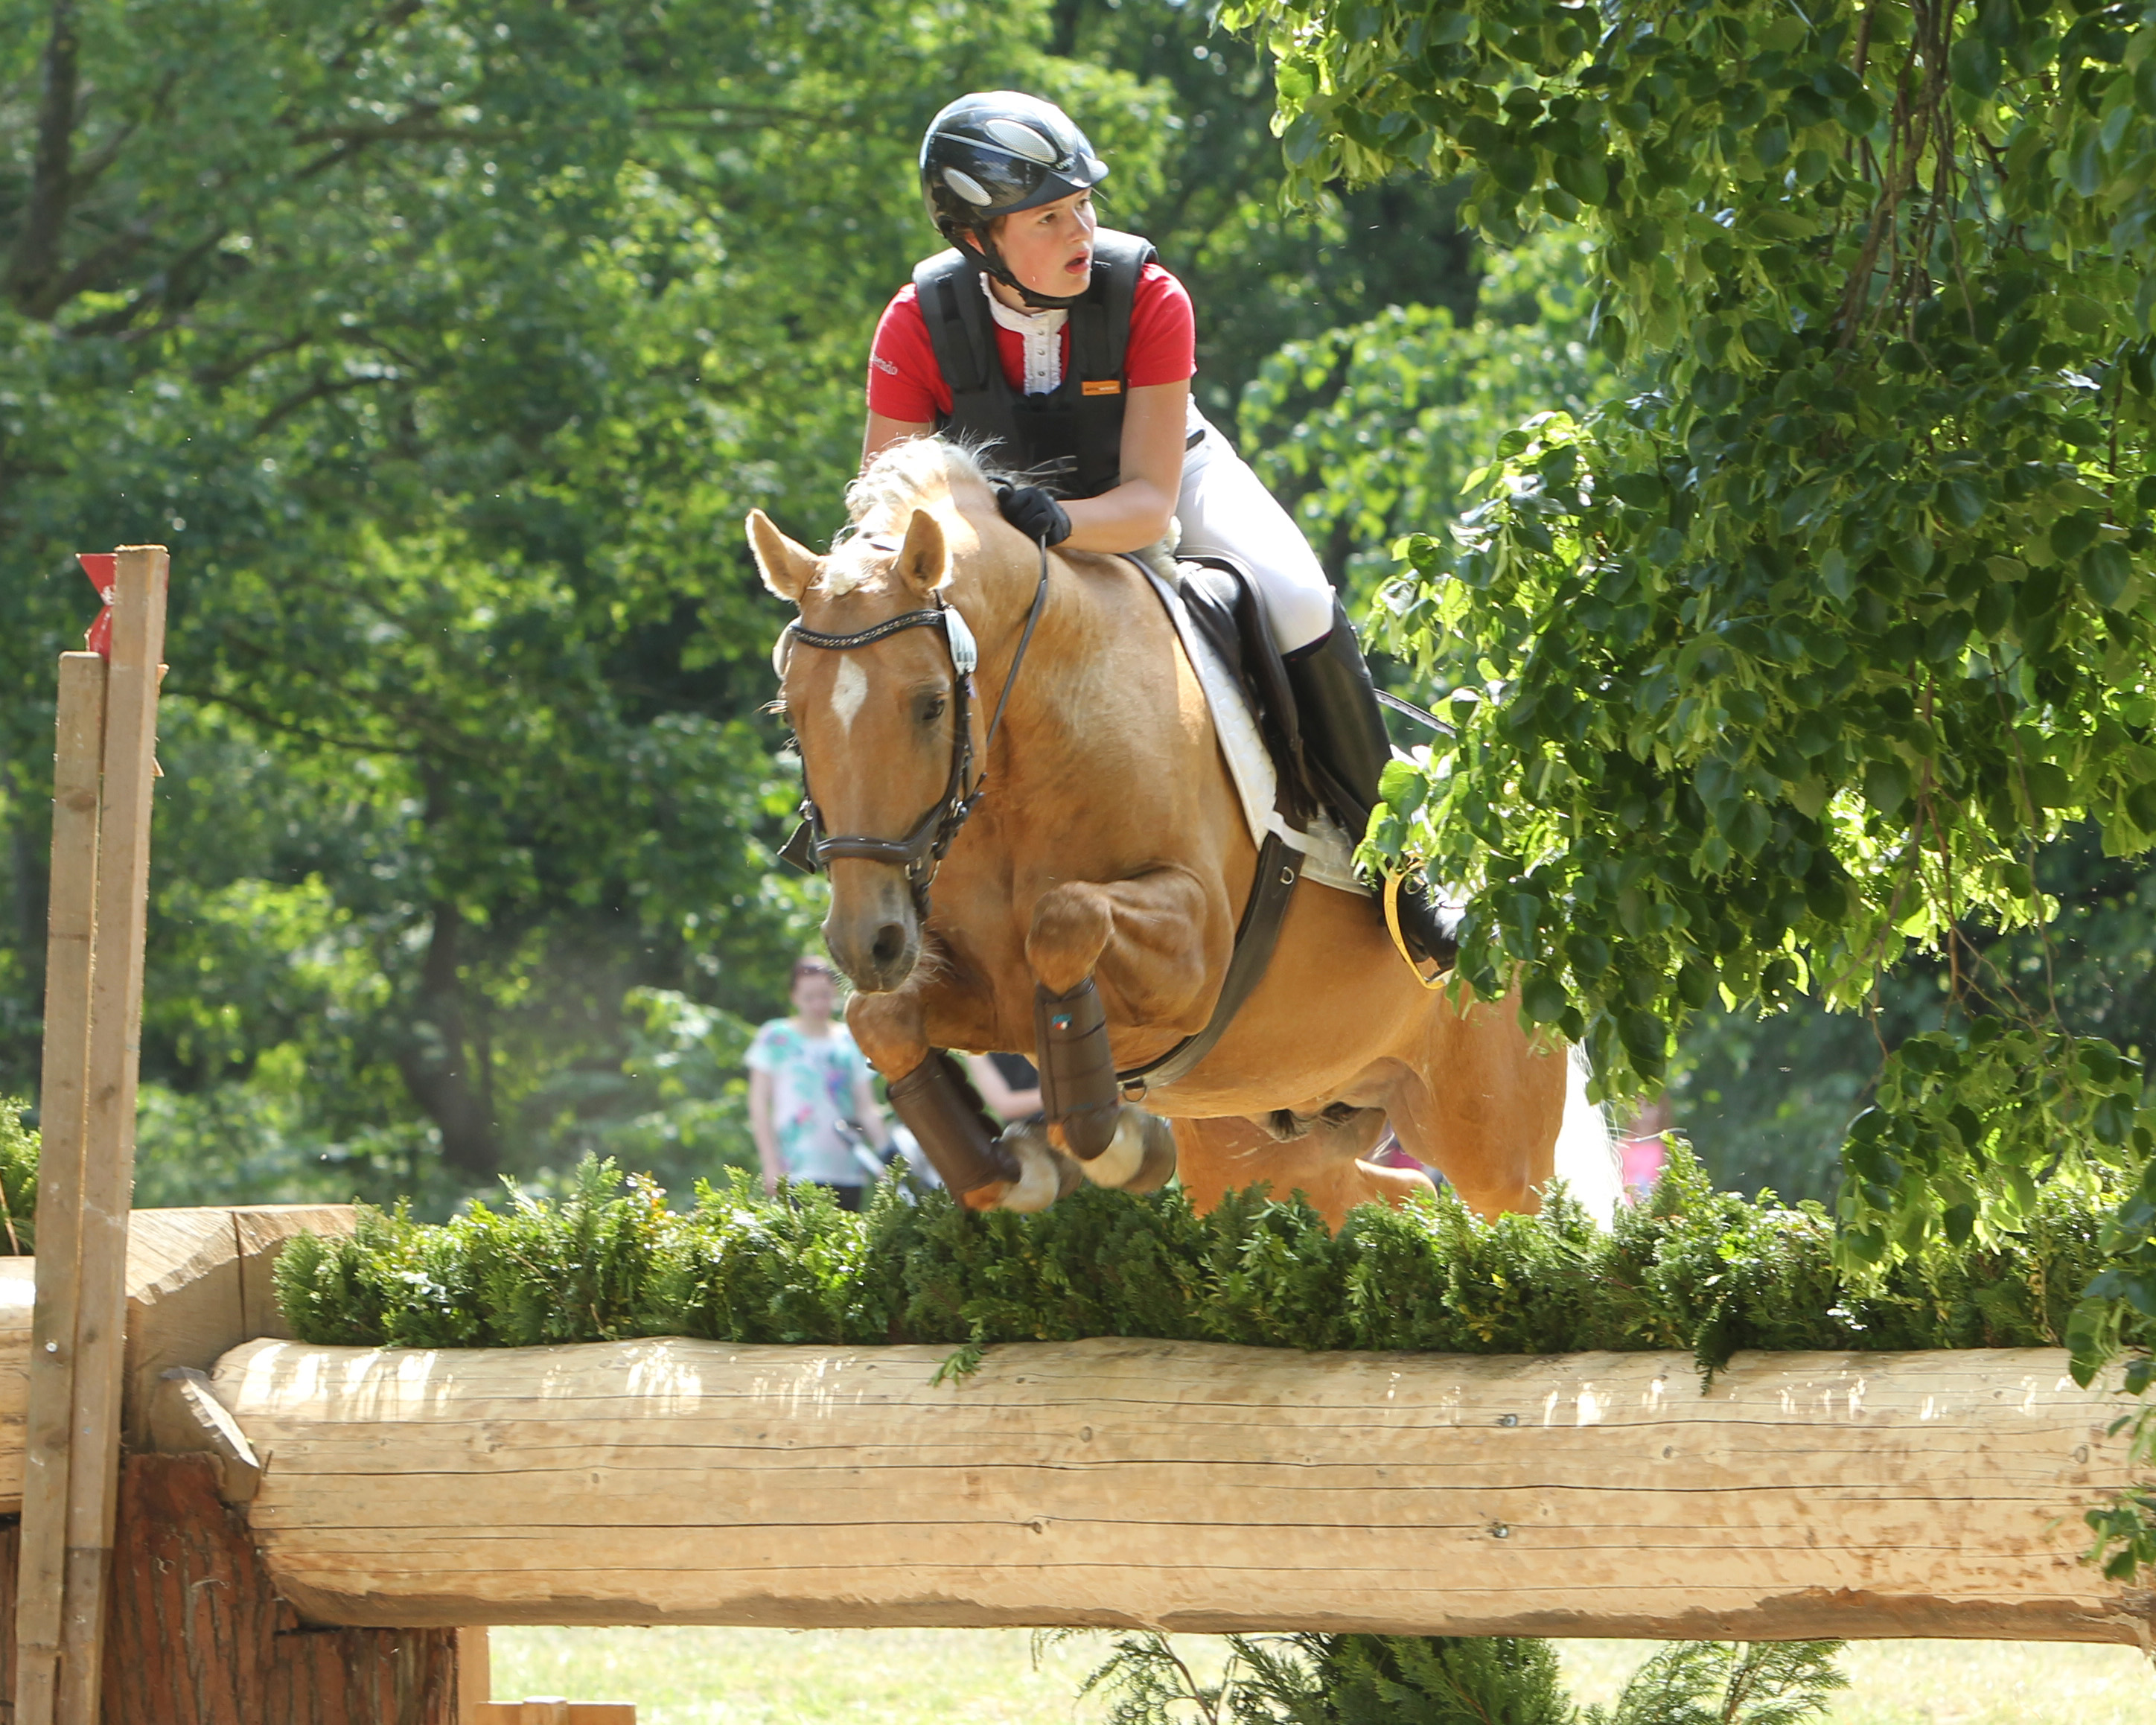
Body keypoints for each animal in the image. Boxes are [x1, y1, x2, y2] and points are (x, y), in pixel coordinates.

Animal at [750, 441, 1613, 1225]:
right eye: (792, 714)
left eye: (931, 704)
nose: (867, 943)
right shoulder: (974, 990)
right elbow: (881, 1020)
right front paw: (1019, 1167)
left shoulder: (1195, 956)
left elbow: (1063, 919)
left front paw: (1107, 1138)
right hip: (1268, 1140)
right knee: (1389, 1197)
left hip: (1492, 1138)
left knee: (1530, 1210)